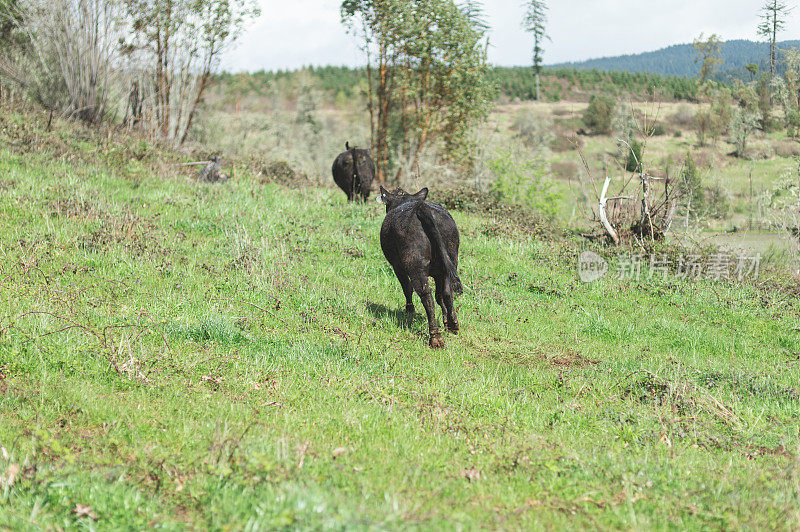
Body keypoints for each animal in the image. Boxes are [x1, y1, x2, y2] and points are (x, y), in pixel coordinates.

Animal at [380, 187, 462, 350]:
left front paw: (409, 311)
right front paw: (446, 321)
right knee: (447, 292)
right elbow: (440, 297)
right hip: (450, 259)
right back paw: (453, 325)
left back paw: (435, 338)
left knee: (425, 295)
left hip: (414, 264)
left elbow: (407, 289)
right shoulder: (439, 272)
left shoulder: (397, 267)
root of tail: (421, 207)